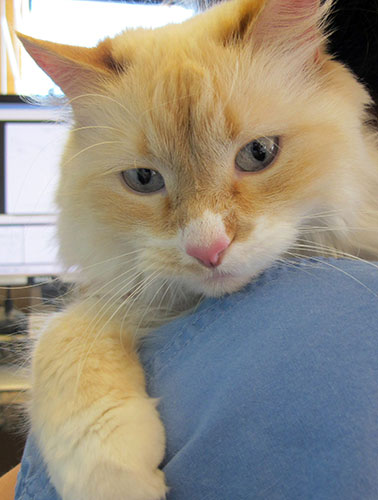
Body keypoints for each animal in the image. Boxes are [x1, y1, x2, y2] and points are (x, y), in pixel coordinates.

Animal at [17, 0, 378, 498]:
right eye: (143, 180)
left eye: (259, 153)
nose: (209, 250)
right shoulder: (133, 296)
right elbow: (61, 339)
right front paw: (118, 480)